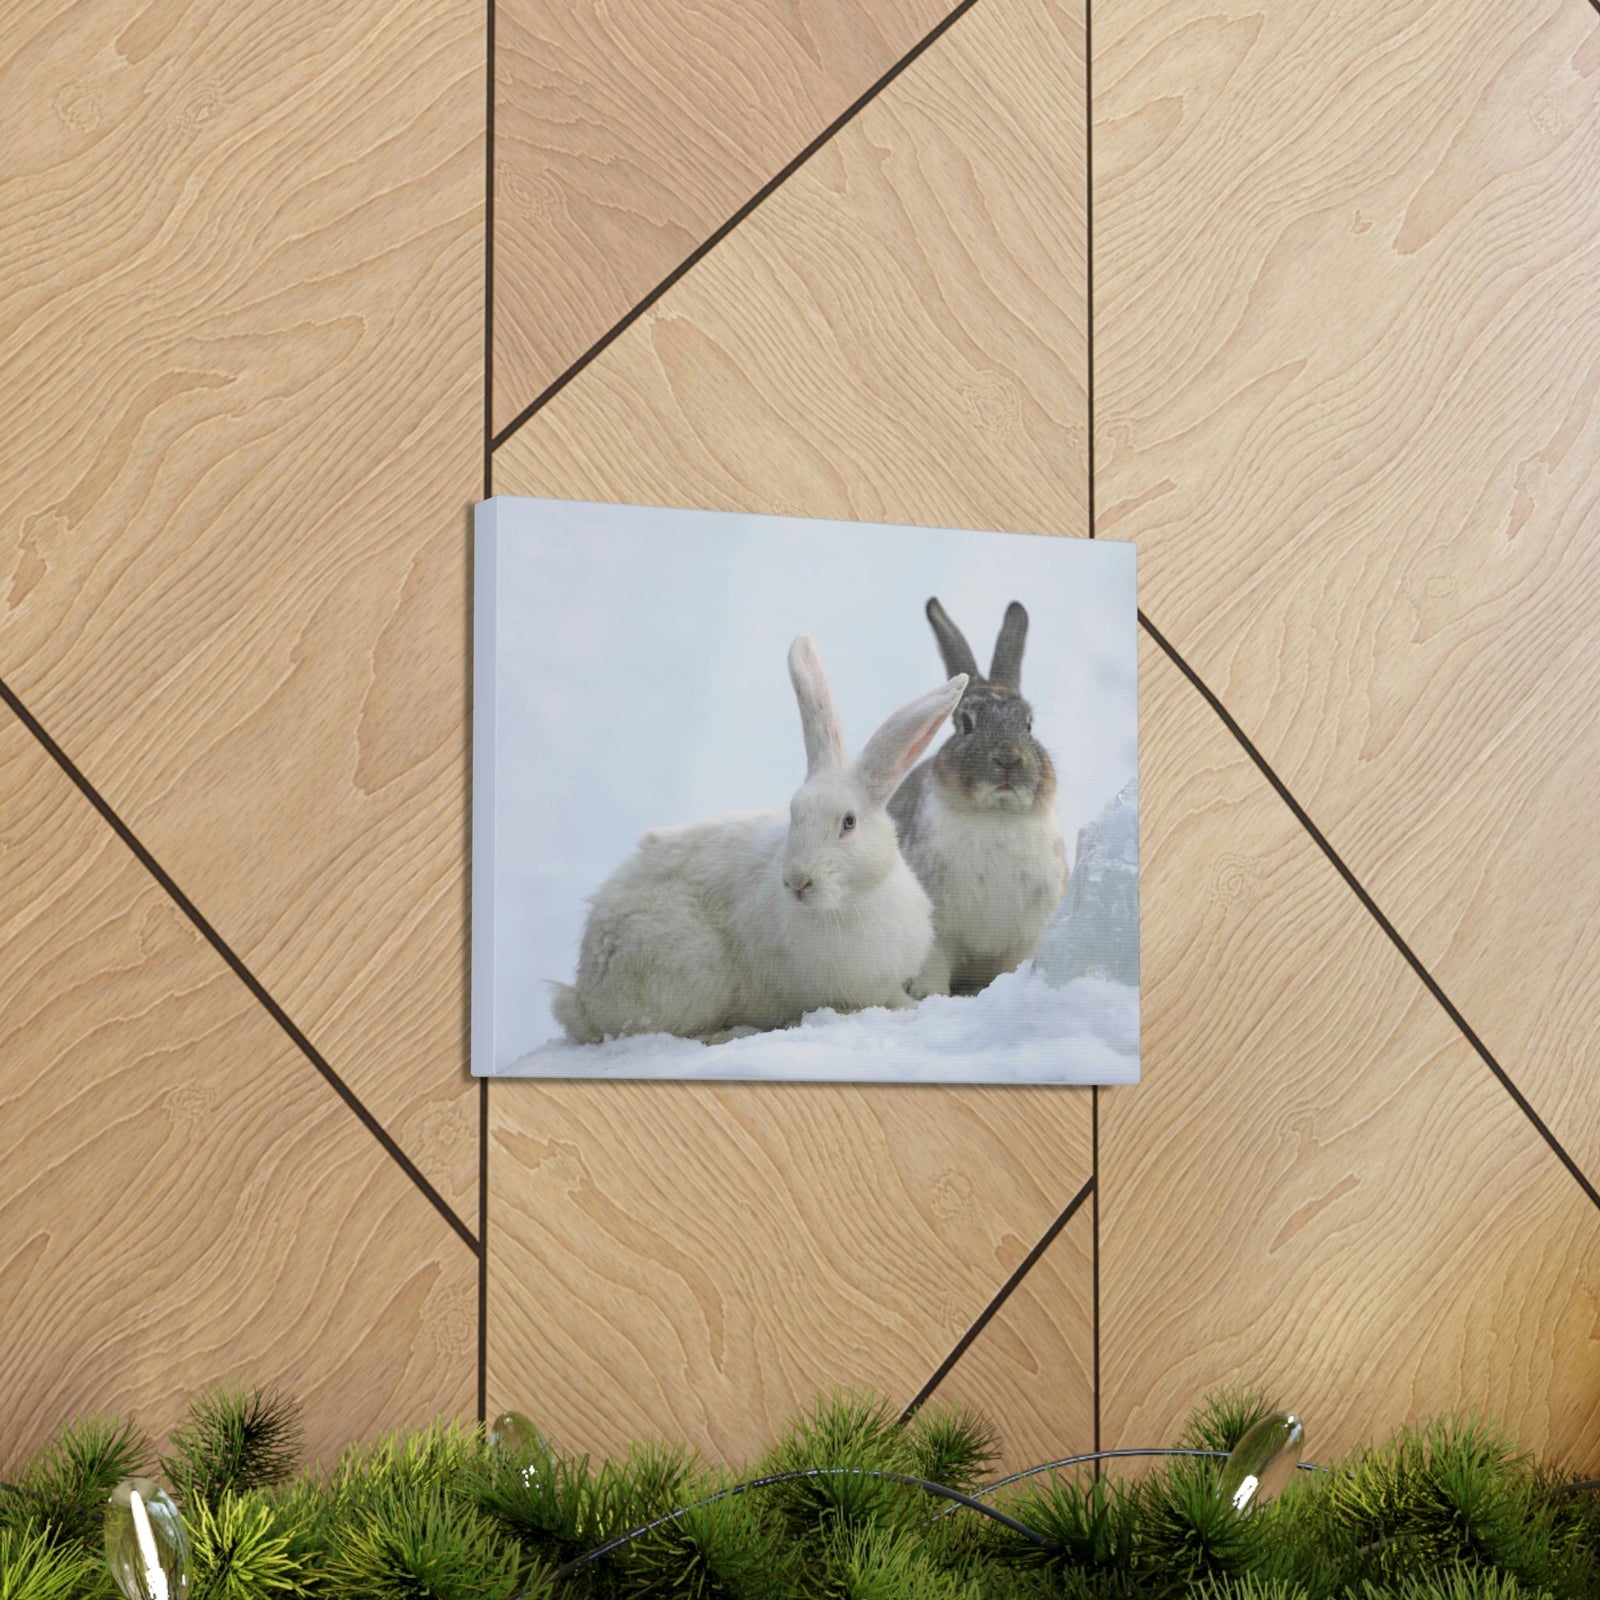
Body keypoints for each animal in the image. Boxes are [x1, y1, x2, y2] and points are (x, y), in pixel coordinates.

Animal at [550, 635, 968, 1044]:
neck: (850, 903)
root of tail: (585, 996)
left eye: (848, 822)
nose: (797, 881)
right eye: (794, 815)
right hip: (689, 968)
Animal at [887, 598, 1068, 996]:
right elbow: (933, 968)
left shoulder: (1025, 937)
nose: (1008, 758)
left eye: (1028, 724)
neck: (995, 815)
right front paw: (929, 997)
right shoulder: (938, 933)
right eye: (966, 723)